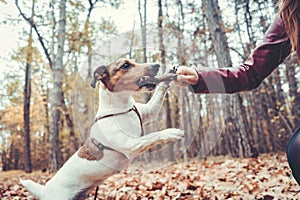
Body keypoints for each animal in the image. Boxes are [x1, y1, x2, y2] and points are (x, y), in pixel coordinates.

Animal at [19, 59, 184, 200]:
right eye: (125, 65)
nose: (157, 65)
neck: (122, 108)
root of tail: (45, 189)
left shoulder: (149, 112)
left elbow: (158, 94)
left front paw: (170, 73)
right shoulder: (130, 144)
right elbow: (154, 135)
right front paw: (172, 132)